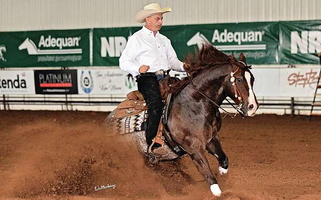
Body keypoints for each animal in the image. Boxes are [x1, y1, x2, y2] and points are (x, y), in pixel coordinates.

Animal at [105, 44, 258, 197]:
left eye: (252, 79)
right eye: (239, 79)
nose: (253, 107)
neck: (194, 104)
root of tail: (107, 122)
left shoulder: (211, 139)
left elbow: (224, 159)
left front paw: (221, 171)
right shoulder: (194, 149)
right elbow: (210, 179)